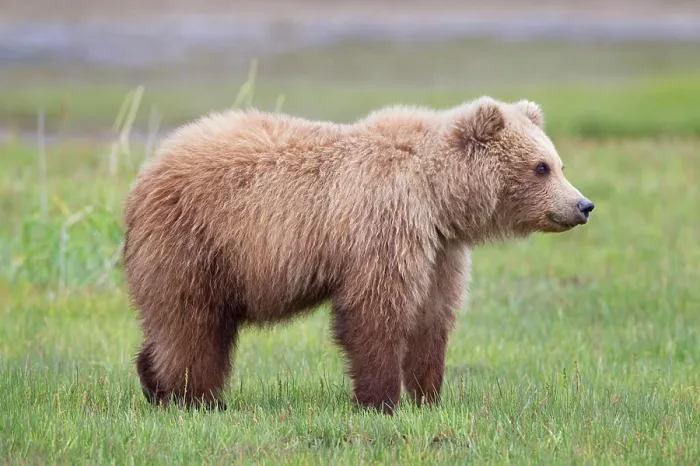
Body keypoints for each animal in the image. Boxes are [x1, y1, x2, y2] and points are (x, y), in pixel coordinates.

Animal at [122, 96, 594, 414]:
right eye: (541, 167)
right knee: (191, 325)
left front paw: (428, 396)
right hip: (195, 241)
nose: (583, 205)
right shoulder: (384, 224)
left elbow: (432, 317)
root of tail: (146, 174)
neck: (437, 196)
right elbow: (376, 312)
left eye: (559, 164)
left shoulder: (440, 249)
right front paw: (381, 401)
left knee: (181, 326)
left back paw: (153, 382)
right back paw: (195, 399)